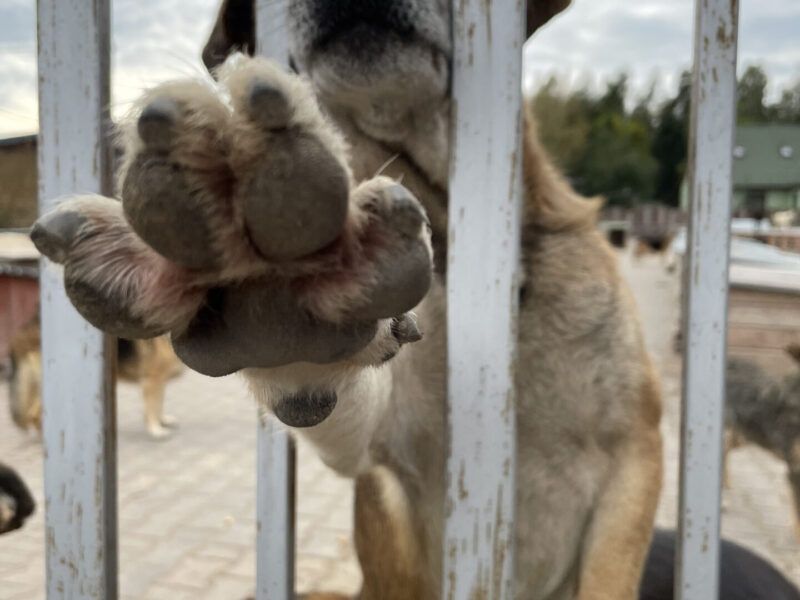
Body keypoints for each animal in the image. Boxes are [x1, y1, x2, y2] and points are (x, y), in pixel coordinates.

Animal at [7, 316, 183, 438]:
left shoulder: (159, 383)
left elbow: (159, 404)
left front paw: (163, 421)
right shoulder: (152, 381)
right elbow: (153, 406)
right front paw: (156, 429)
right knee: (34, 414)